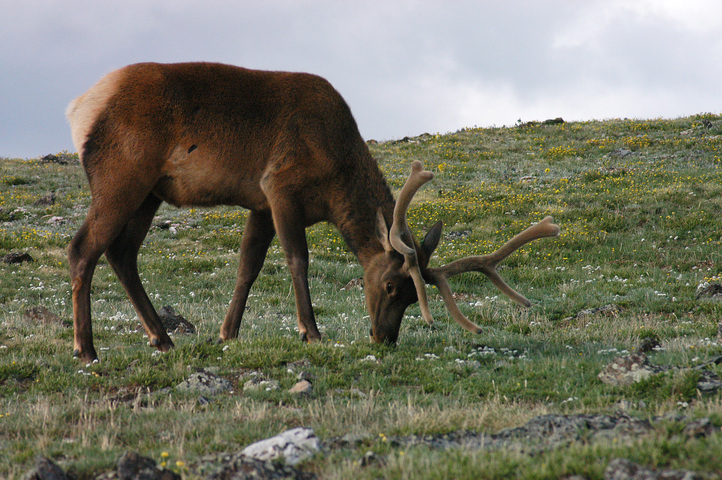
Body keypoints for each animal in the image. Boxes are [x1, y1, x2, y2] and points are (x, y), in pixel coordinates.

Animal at [64, 63, 560, 364]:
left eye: (408, 297)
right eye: (390, 285)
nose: (385, 338)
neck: (336, 180)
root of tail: (79, 106)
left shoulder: (260, 204)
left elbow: (248, 266)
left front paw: (227, 333)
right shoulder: (279, 185)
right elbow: (296, 260)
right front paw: (311, 332)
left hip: (149, 191)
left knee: (122, 253)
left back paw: (161, 337)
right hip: (122, 173)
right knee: (83, 247)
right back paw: (86, 348)